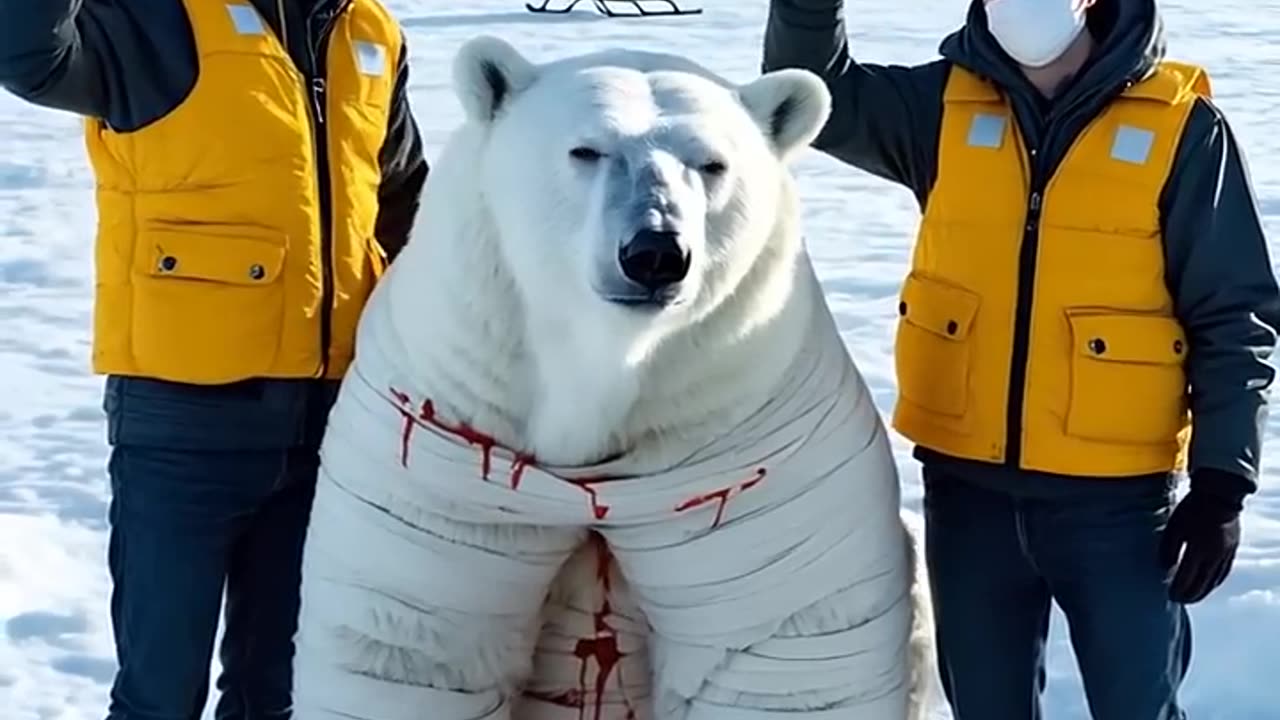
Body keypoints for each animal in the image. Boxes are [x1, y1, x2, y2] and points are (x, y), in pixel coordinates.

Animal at [289, 34, 936, 720]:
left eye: (712, 164)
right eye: (586, 149)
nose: (654, 253)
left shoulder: (748, 463)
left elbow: (772, 661)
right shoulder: (450, 457)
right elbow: (409, 651)